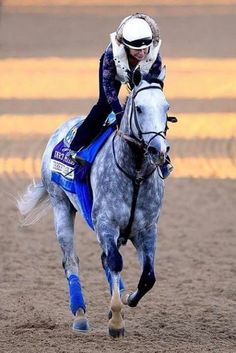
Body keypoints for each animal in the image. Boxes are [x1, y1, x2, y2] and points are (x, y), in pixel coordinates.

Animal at [17, 68, 171, 336]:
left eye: (166, 107)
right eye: (139, 108)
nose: (158, 150)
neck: (135, 175)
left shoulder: (147, 229)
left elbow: (148, 277)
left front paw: (126, 299)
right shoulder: (106, 224)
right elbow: (115, 262)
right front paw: (116, 321)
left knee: (105, 260)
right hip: (60, 204)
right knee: (71, 260)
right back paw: (79, 314)